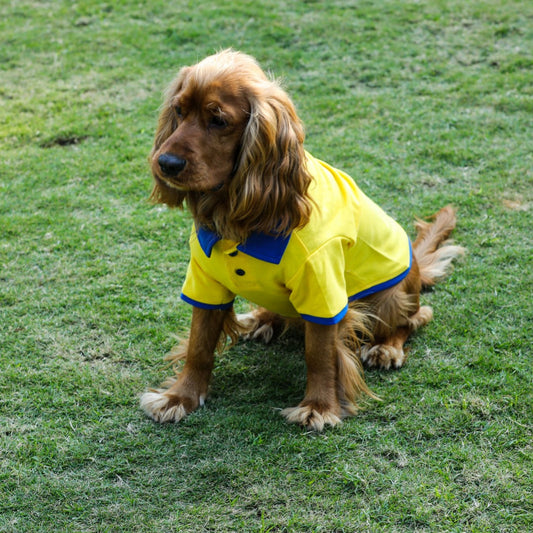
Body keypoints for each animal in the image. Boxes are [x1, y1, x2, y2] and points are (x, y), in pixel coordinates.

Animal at [139, 50, 464, 430]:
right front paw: (180, 397)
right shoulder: (205, 281)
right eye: (178, 110)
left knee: (415, 317)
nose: (165, 162)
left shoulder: (321, 290)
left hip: (391, 295)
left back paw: (387, 348)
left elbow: (319, 353)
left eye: (218, 120)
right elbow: (199, 344)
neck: (239, 214)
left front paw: (318, 407)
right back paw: (262, 319)